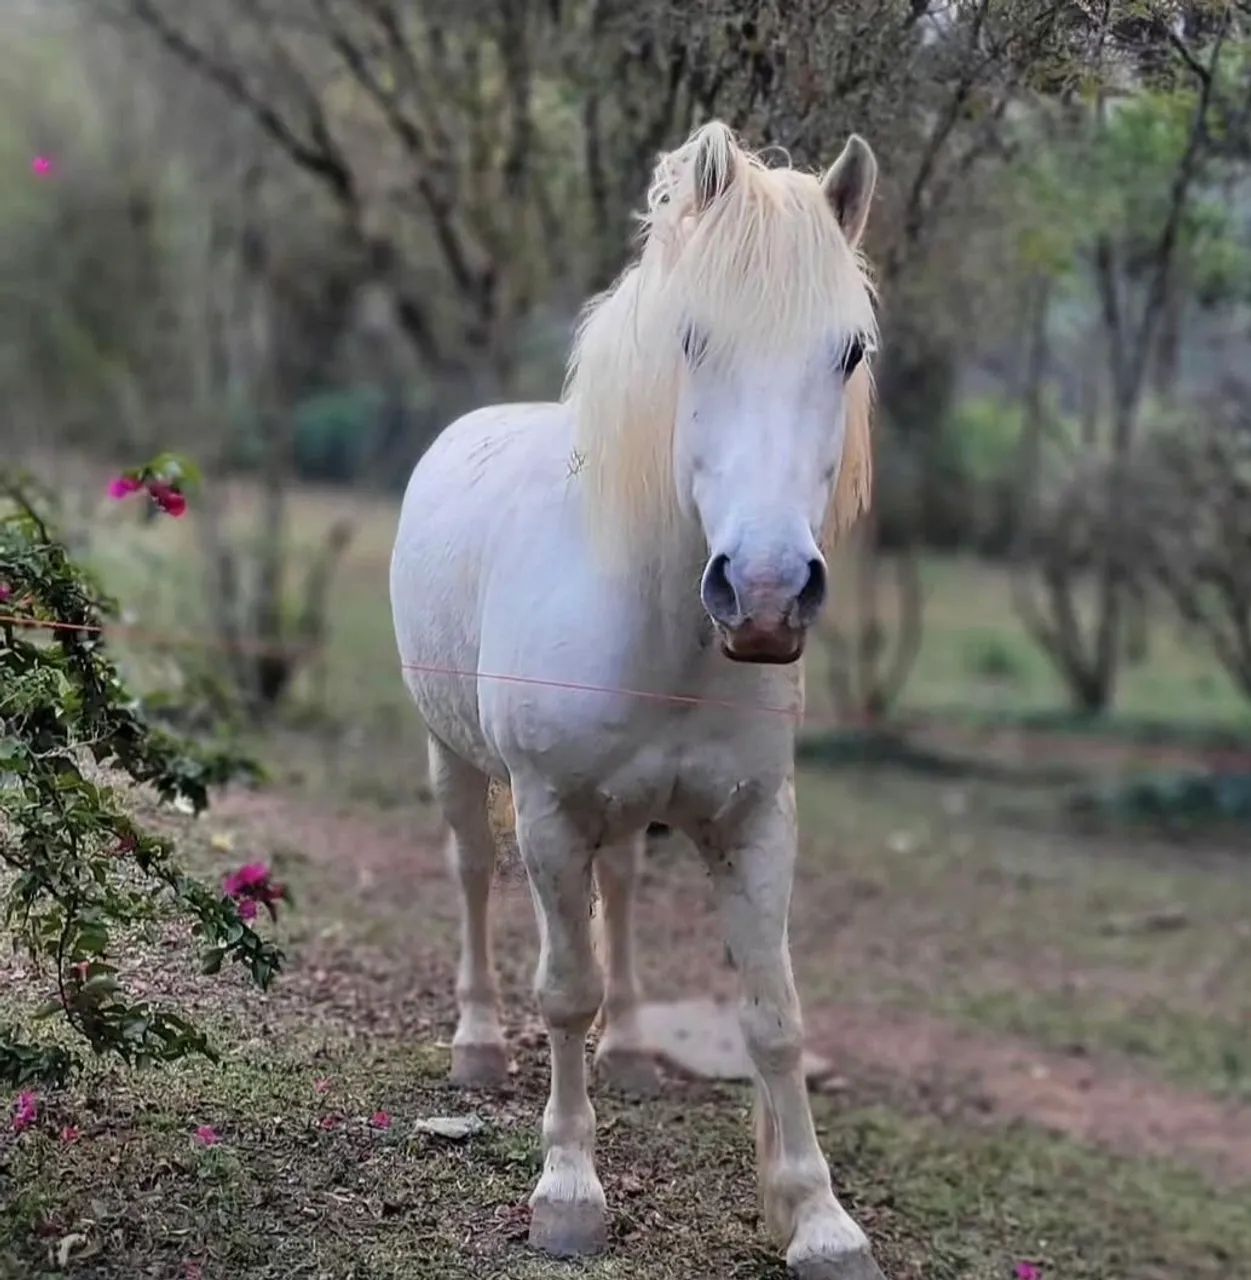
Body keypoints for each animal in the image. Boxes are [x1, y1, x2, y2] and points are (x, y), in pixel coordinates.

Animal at [390, 120, 882, 1279]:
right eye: (693, 339)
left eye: (849, 351)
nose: (764, 593)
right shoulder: (548, 814)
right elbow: (562, 989)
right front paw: (568, 1191)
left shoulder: (754, 822)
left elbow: (774, 1013)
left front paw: (817, 1216)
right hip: (454, 761)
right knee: (470, 876)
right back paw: (477, 1044)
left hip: (626, 819)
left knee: (616, 894)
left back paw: (627, 1050)